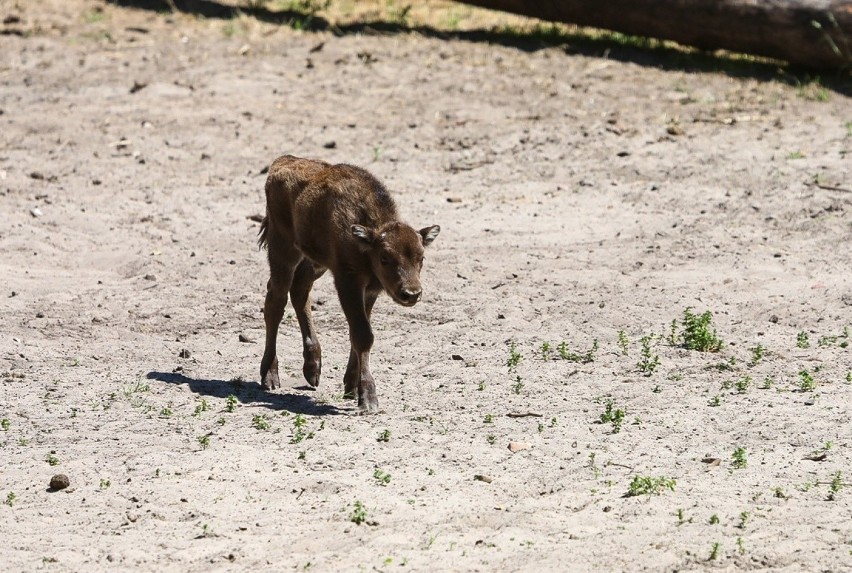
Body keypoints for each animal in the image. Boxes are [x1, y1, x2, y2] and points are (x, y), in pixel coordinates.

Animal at [258, 154, 442, 412]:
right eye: (385, 258)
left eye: (421, 258)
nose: (411, 293)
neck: (366, 240)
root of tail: (283, 161)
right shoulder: (348, 282)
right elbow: (363, 335)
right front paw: (368, 398)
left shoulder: (370, 290)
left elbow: (361, 333)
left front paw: (351, 387)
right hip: (283, 250)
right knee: (276, 302)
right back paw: (270, 377)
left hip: (315, 262)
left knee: (300, 291)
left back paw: (312, 369)